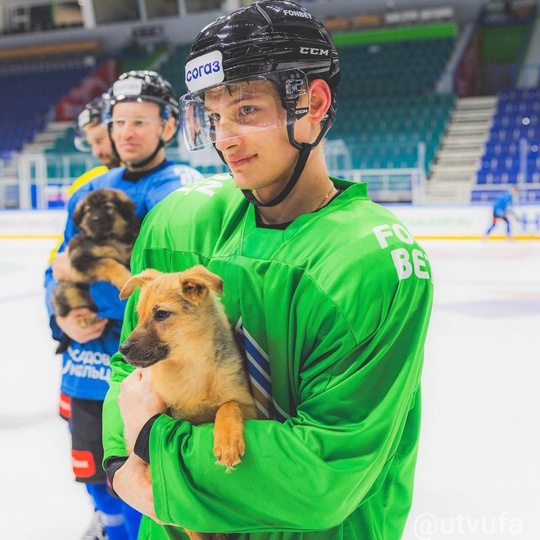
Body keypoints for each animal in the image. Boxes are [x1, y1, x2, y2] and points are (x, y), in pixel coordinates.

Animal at [118, 264, 258, 540]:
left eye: (161, 314)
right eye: (138, 315)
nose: (123, 349)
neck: (192, 368)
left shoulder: (250, 406)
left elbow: (228, 406)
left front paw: (227, 442)